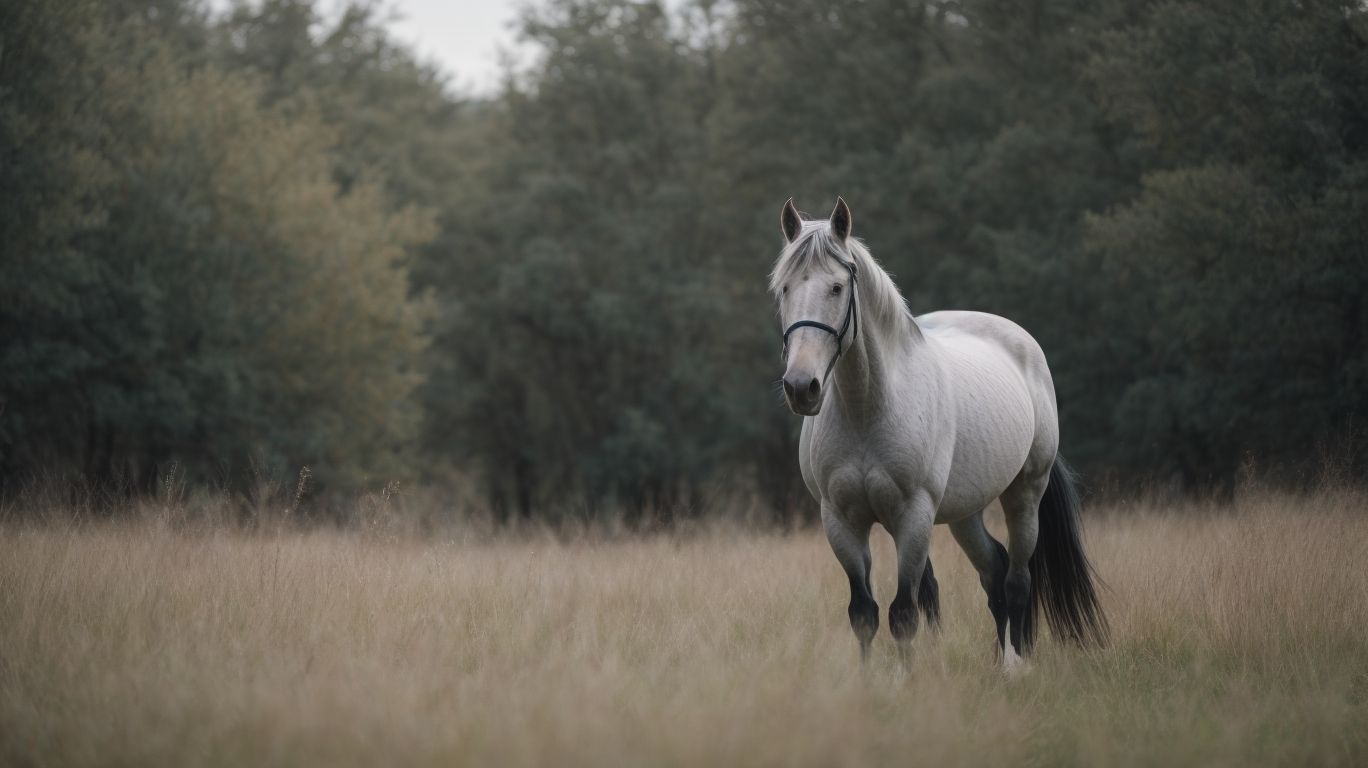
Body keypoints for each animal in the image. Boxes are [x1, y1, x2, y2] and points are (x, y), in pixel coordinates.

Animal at [771, 197, 1108, 670]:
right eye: (783, 289)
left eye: (836, 288)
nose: (802, 387)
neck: (868, 409)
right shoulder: (840, 521)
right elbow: (864, 613)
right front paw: (866, 681)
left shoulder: (914, 517)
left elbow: (904, 614)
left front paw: (907, 680)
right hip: (965, 513)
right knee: (994, 572)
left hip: (1024, 495)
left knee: (1017, 580)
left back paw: (1015, 667)